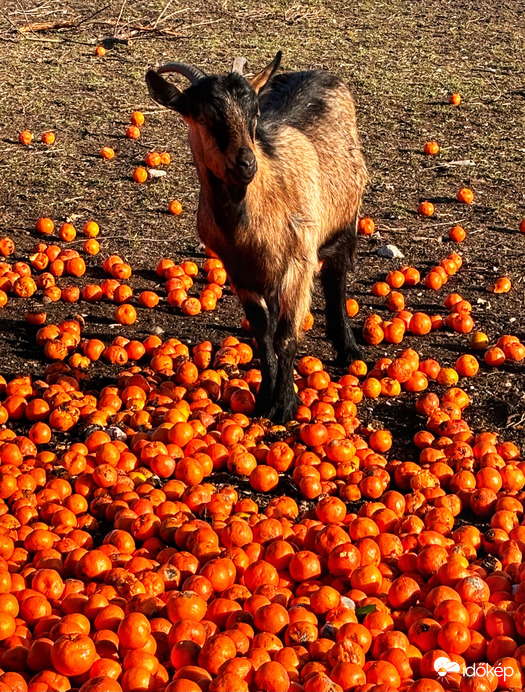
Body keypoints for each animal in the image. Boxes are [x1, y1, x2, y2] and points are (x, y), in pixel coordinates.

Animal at [145, 52, 366, 422]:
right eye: (203, 117)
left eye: (255, 114)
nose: (246, 163)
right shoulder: (240, 272)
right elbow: (263, 333)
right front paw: (265, 399)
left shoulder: (299, 261)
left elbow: (286, 337)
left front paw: (286, 405)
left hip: (345, 218)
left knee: (336, 277)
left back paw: (347, 348)